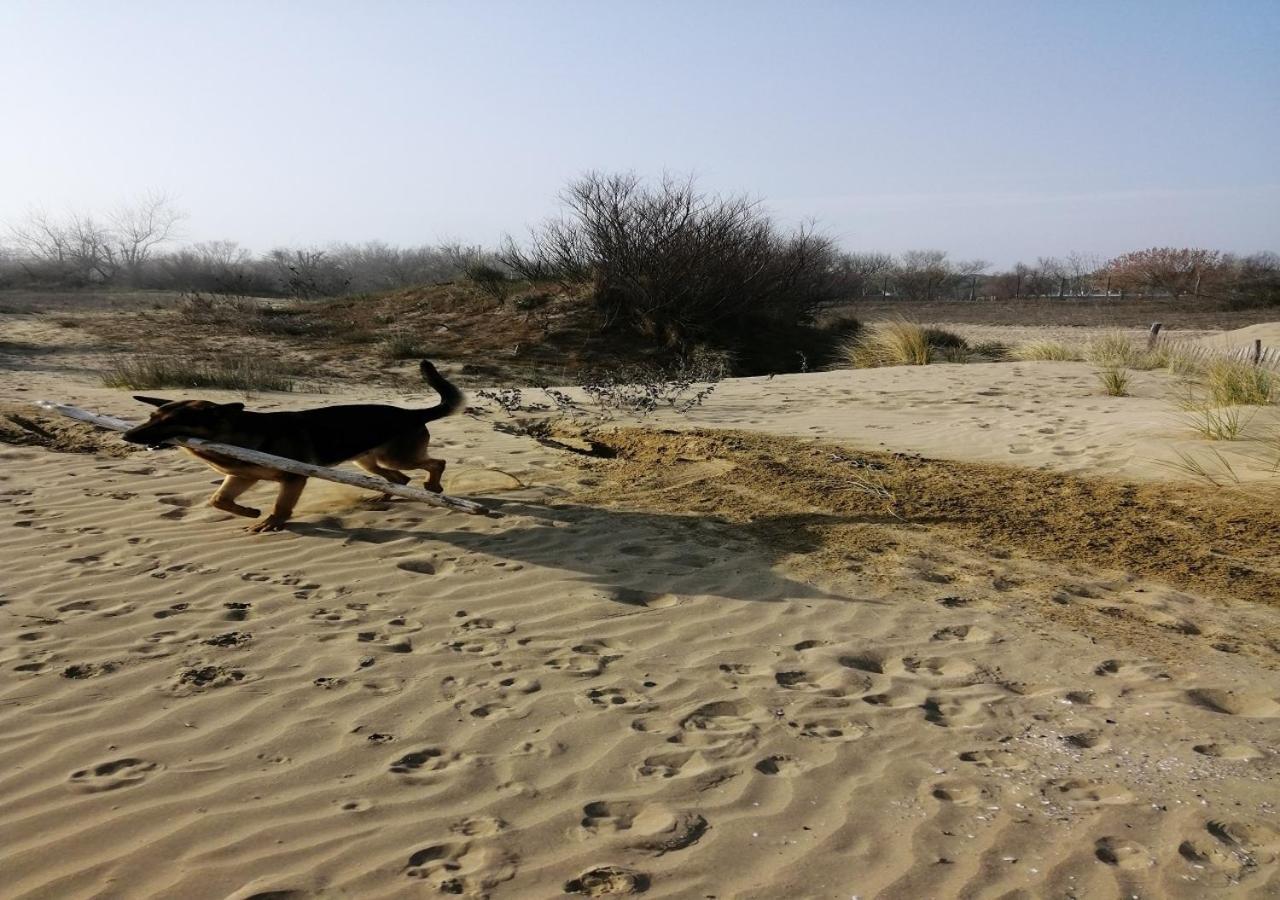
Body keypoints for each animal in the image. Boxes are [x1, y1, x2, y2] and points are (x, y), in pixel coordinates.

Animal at [120, 358, 465, 527]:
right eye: (151, 417)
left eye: (170, 422)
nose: (126, 435)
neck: (234, 436)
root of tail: (411, 412)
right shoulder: (239, 477)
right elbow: (219, 500)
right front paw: (249, 512)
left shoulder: (292, 479)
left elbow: (280, 505)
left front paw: (272, 522)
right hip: (366, 460)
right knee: (399, 479)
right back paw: (385, 496)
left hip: (396, 457)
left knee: (435, 463)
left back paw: (433, 487)